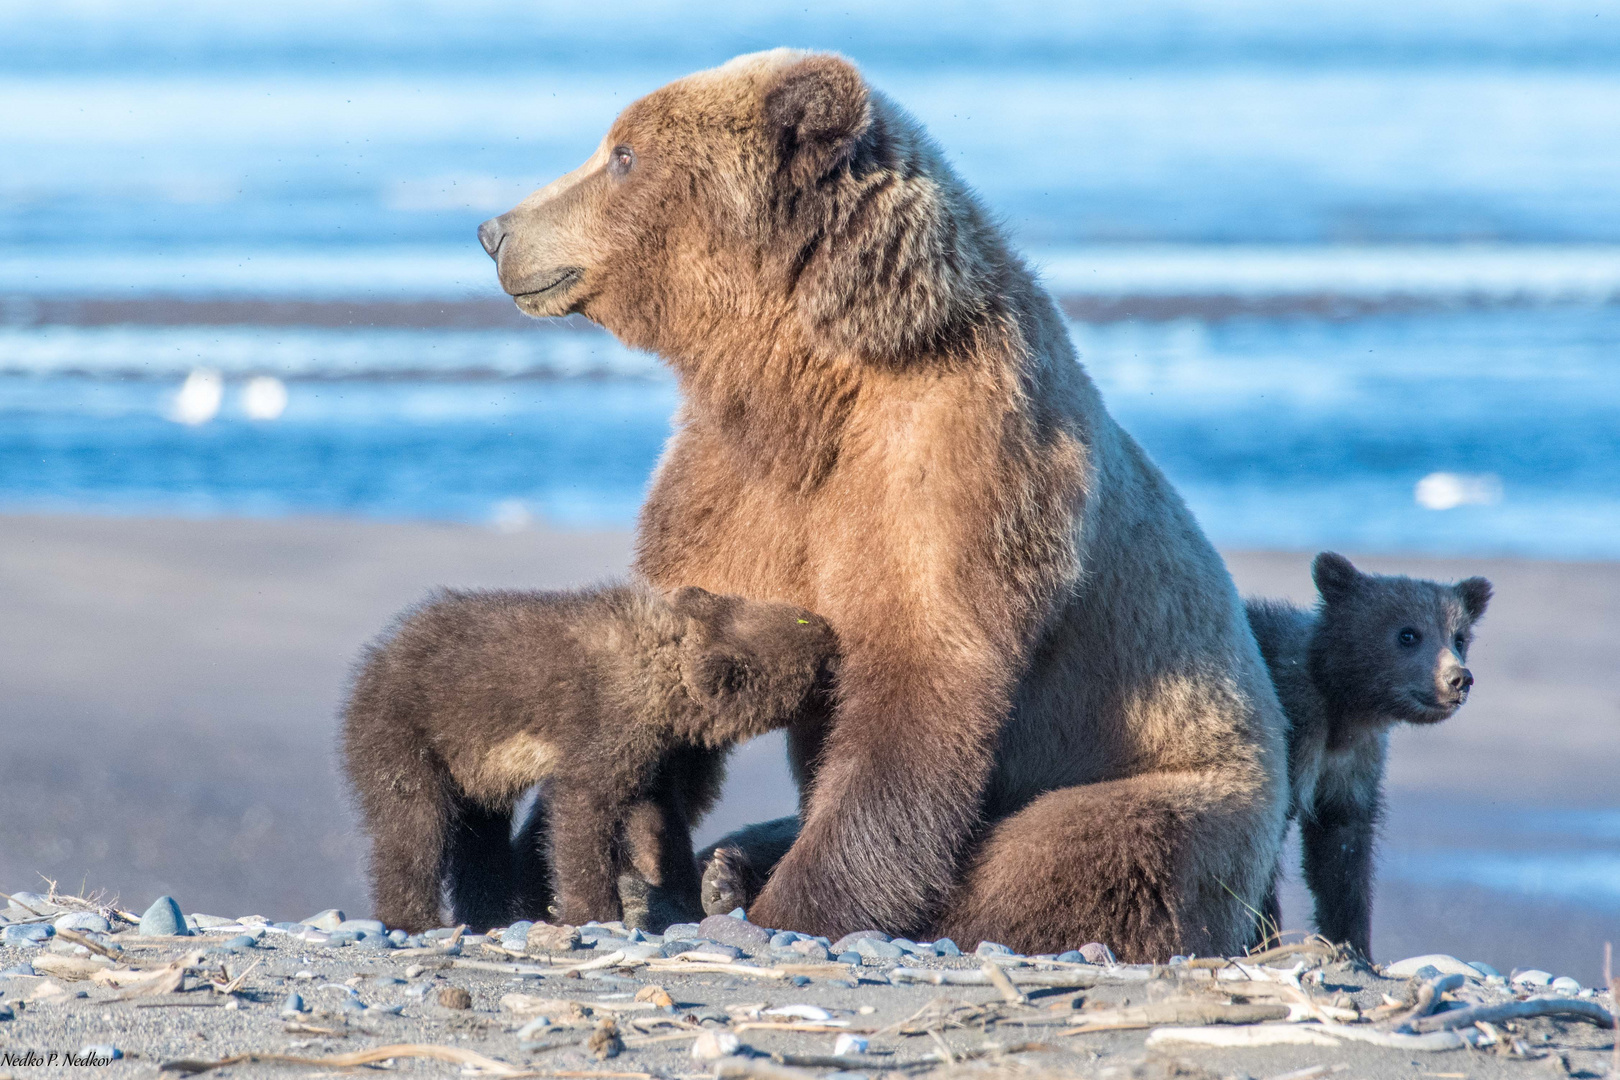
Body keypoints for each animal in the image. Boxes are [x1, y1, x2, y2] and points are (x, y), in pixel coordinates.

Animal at [473, 48, 1283, 952]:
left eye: (622, 154)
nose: (496, 230)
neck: (807, 381)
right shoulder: (736, 484)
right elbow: (691, 643)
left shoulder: (952, 468)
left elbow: (917, 680)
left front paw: (798, 907)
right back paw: (730, 864)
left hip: (1183, 778)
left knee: (1078, 849)